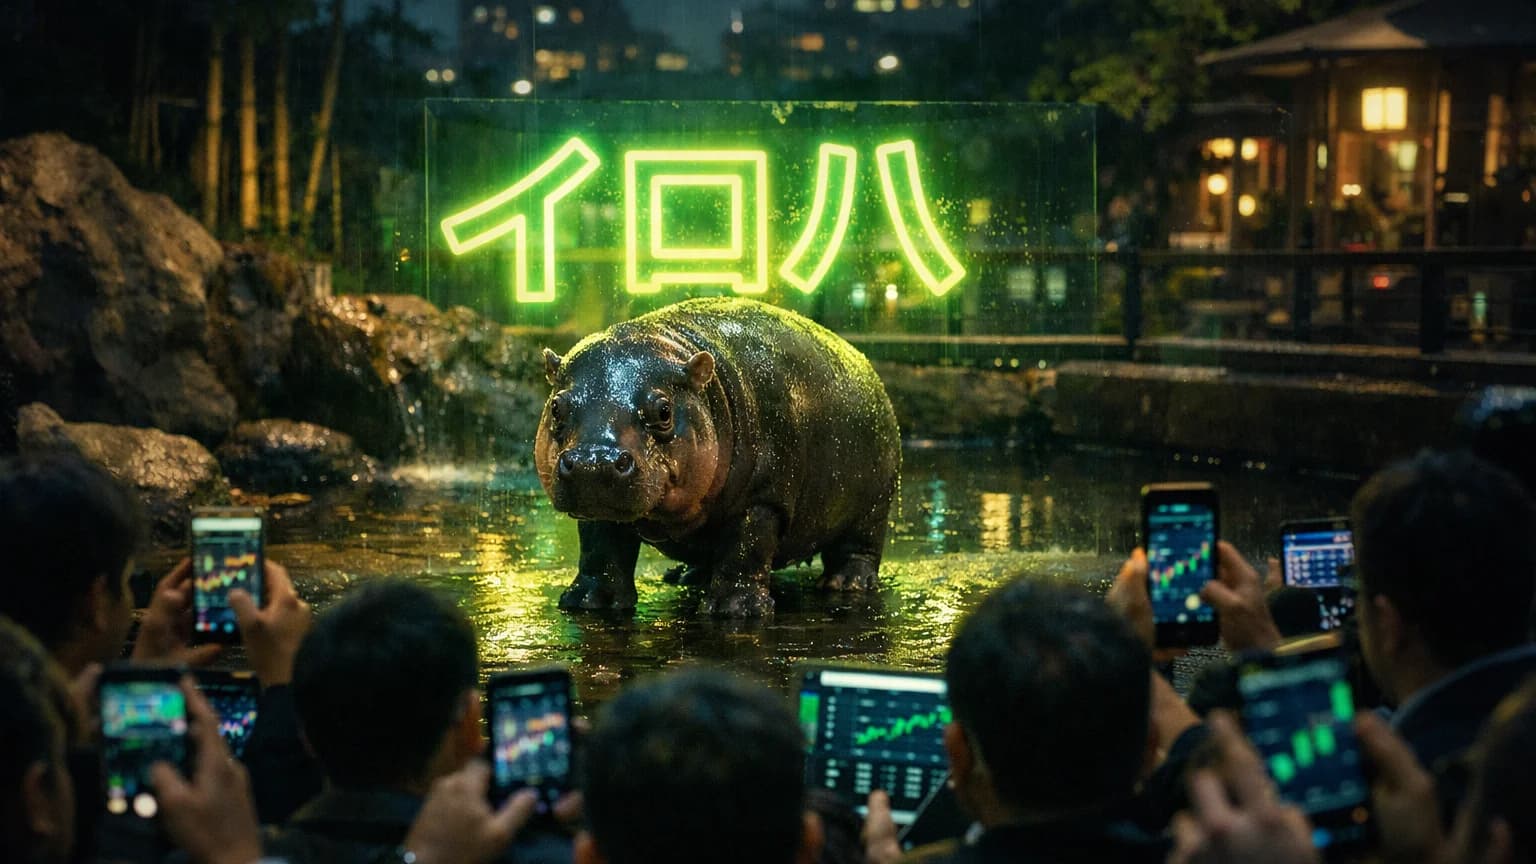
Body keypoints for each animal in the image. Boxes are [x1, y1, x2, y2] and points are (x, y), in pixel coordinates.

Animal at [535, 297, 901, 617]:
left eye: (664, 410)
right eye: (556, 406)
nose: (592, 463)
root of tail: (862, 360)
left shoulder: (763, 499)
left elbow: (746, 548)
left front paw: (736, 610)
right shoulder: (601, 511)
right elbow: (600, 548)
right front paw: (587, 603)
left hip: (874, 502)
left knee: (859, 545)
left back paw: (846, 584)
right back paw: (686, 575)